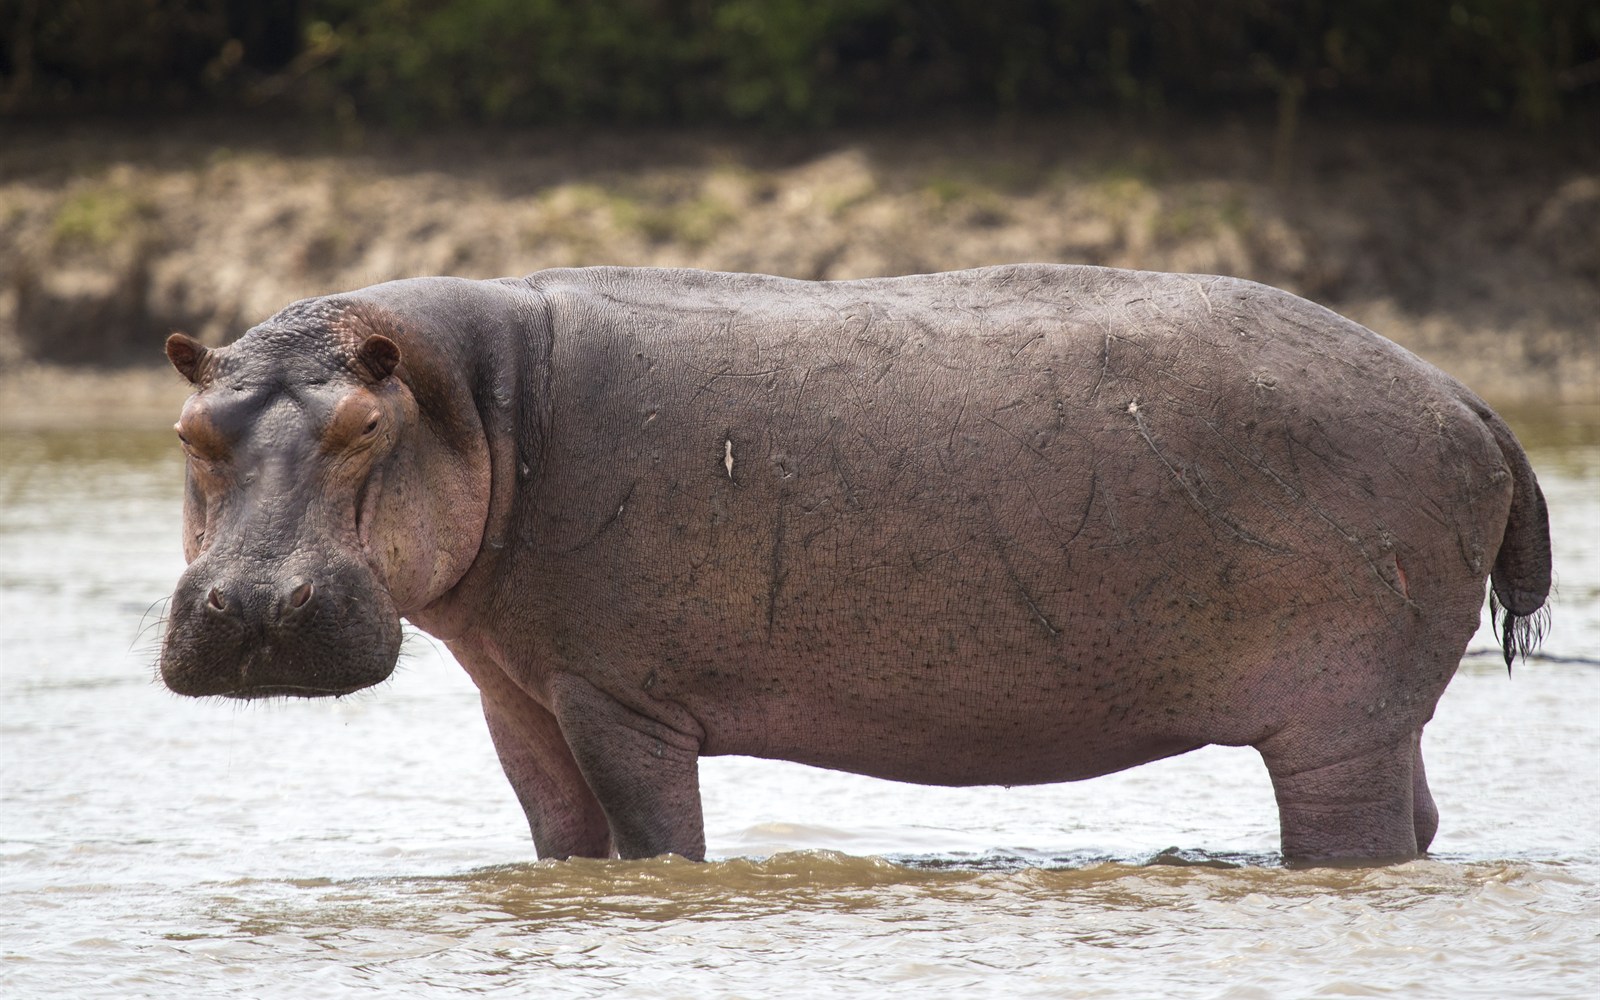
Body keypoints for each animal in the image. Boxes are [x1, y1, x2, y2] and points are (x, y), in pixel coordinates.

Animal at [159, 264, 1550, 864]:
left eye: (361, 426)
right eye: (188, 429)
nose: (254, 607)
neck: (481, 403)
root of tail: (1467, 398)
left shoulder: (620, 700)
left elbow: (655, 841)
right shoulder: (521, 696)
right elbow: (561, 842)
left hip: (1336, 717)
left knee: (1356, 829)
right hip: (1378, 711)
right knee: (1420, 819)